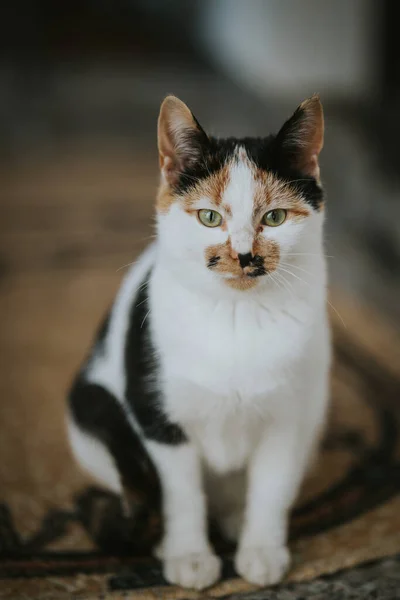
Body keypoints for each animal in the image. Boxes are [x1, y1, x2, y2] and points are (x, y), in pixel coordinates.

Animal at [67, 95, 332, 592]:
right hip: (92, 409)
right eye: (210, 217)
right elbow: (181, 493)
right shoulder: (159, 418)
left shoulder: (290, 419)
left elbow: (271, 489)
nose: (245, 255)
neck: (238, 318)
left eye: (275, 216)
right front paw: (188, 556)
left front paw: (261, 551)